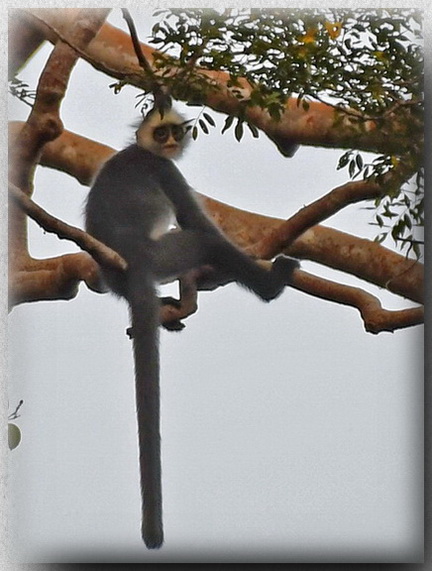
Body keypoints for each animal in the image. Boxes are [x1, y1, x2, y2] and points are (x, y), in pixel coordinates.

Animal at [85, 107, 300, 548]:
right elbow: (196, 221)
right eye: (160, 133)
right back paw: (268, 285)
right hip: (165, 253)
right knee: (204, 241)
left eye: (173, 130)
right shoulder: (165, 170)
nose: (170, 141)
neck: (141, 150)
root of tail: (132, 254)